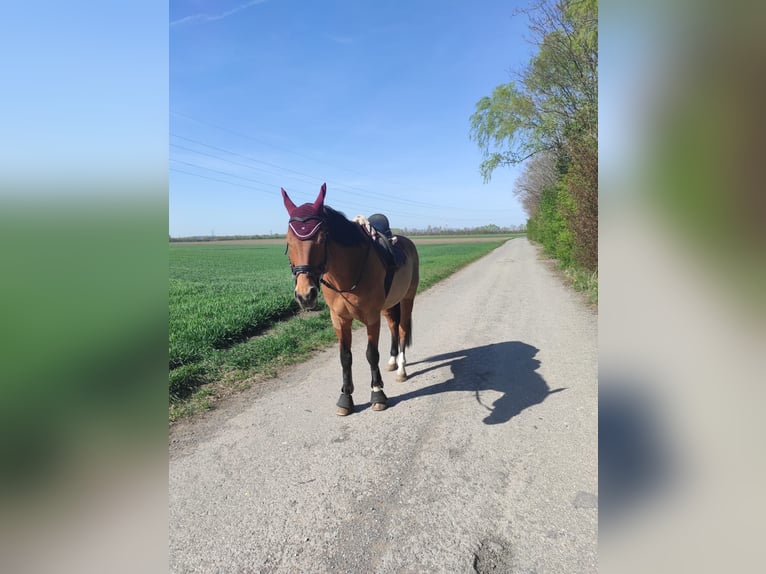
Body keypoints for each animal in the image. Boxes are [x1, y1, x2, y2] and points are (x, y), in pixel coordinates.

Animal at [284, 182, 424, 416]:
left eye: (322, 237)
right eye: (288, 241)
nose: (305, 295)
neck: (347, 273)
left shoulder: (371, 318)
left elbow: (371, 354)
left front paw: (377, 393)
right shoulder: (339, 319)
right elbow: (345, 357)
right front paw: (345, 398)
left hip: (407, 299)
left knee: (403, 329)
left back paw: (401, 369)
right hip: (388, 306)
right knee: (393, 327)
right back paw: (393, 360)